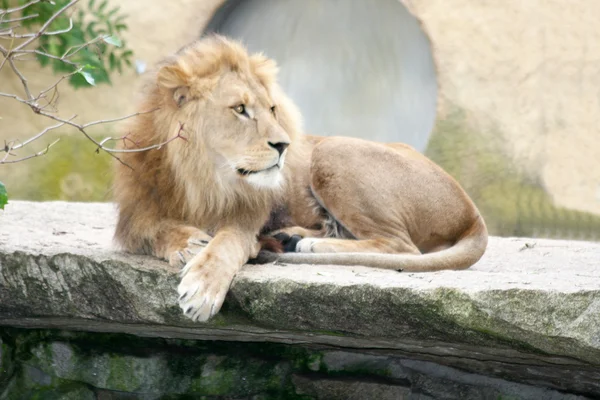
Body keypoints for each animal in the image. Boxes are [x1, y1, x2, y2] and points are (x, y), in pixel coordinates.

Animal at [112, 34, 488, 322]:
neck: (201, 175)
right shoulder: (135, 213)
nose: (284, 145)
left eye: (272, 109)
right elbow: (155, 229)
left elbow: (227, 243)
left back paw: (307, 244)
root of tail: (472, 213)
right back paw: (292, 237)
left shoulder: (247, 216)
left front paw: (202, 288)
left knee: (401, 246)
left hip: (333, 149)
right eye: (240, 109)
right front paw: (189, 243)